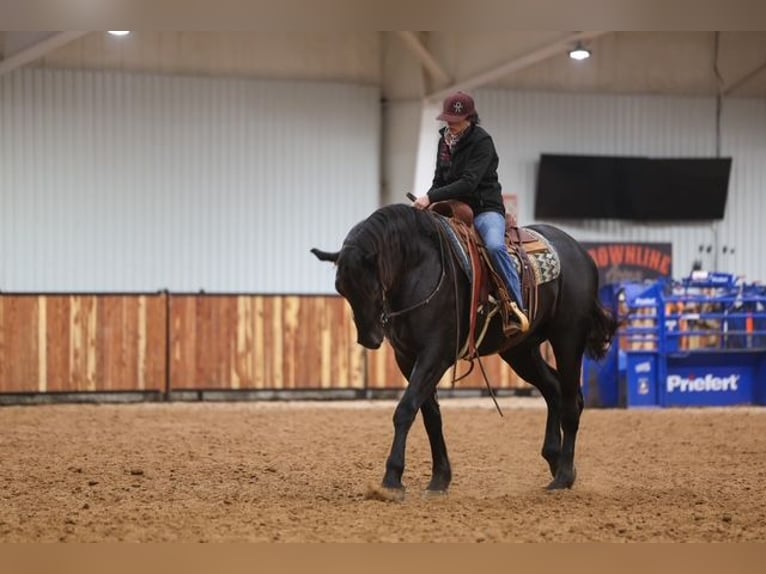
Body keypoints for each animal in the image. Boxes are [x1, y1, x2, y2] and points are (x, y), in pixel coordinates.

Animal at [311, 203, 617, 497]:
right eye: (341, 288)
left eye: (371, 286)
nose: (369, 338)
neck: (420, 269)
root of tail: (580, 252)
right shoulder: (407, 358)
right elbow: (430, 415)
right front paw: (439, 479)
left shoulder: (435, 354)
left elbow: (406, 409)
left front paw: (391, 480)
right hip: (520, 350)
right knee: (553, 389)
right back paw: (556, 462)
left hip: (568, 338)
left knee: (570, 402)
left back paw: (563, 476)